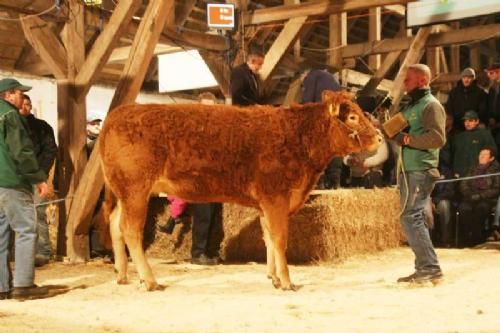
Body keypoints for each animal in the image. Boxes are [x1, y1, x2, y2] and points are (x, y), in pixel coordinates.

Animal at [99, 91, 380, 290]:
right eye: (353, 117)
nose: (378, 137)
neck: (298, 137)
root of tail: (117, 114)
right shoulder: (276, 198)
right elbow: (280, 239)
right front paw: (287, 281)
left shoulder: (267, 204)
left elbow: (268, 238)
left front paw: (273, 277)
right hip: (136, 190)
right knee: (130, 230)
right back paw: (149, 280)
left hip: (126, 193)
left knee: (115, 224)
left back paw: (123, 274)